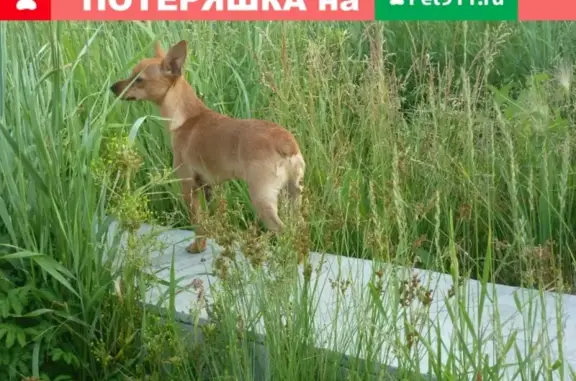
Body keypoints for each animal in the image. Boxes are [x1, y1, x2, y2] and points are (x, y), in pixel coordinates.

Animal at [109, 40, 306, 252]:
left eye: (138, 79)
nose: (112, 87)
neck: (187, 117)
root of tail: (286, 142)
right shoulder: (207, 187)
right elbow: (207, 221)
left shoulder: (188, 187)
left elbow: (198, 223)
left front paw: (197, 247)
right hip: (294, 195)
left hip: (262, 199)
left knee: (283, 231)